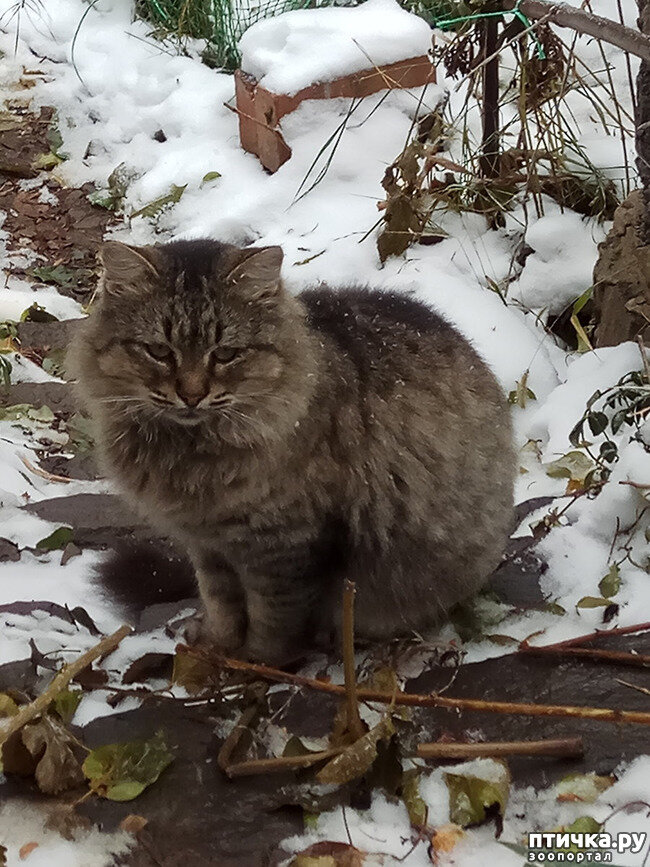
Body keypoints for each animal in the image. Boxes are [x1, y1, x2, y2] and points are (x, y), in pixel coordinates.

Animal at [69, 239, 516, 664]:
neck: (192, 455)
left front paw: (257, 661)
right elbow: (221, 601)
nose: (192, 395)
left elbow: (274, 617)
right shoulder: (208, 545)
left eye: (226, 354)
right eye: (159, 352)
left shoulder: (284, 544)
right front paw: (218, 644)